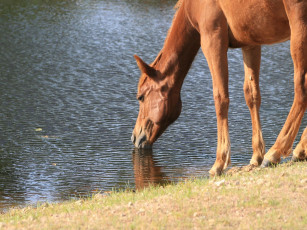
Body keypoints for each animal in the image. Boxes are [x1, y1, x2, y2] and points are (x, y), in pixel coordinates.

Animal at [131, 0, 307, 176]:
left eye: (141, 97)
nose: (134, 137)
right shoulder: (250, 44)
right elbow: (252, 95)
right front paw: (256, 156)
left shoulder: (212, 40)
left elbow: (220, 97)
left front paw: (219, 163)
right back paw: (299, 150)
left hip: (299, 27)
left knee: (301, 88)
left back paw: (276, 152)